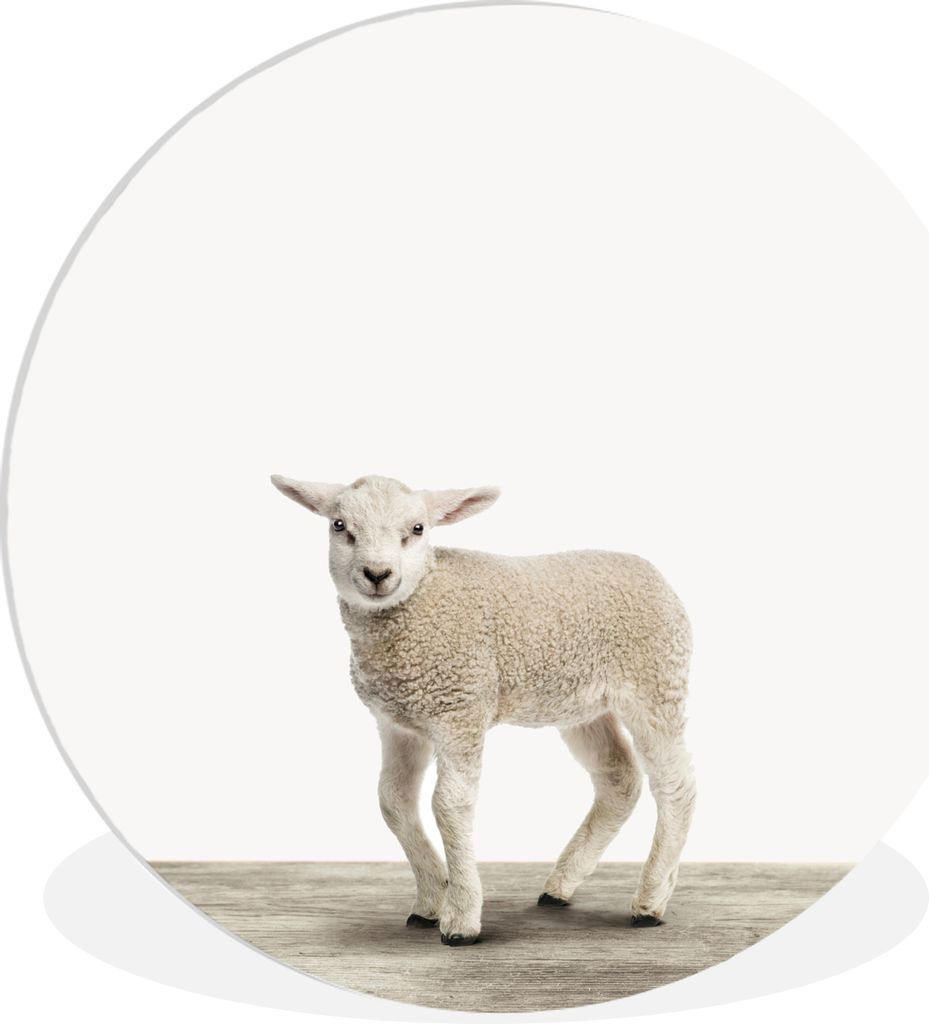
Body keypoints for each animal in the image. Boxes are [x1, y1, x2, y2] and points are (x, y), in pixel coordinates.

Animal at [271, 473, 696, 947]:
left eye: (417, 529)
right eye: (339, 525)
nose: (378, 574)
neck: (422, 599)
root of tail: (651, 571)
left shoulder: (461, 709)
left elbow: (449, 805)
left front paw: (461, 917)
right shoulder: (397, 723)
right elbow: (393, 802)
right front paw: (430, 899)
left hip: (655, 682)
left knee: (676, 784)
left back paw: (650, 901)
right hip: (583, 703)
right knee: (619, 778)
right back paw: (560, 886)